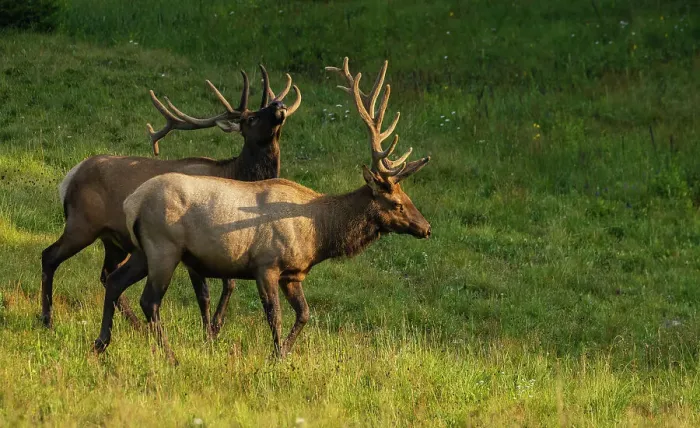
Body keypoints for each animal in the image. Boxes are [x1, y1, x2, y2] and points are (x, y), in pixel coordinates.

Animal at [40, 65, 301, 338]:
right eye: (250, 119)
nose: (278, 104)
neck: (234, 174)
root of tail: (69, 177)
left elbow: (229, 284)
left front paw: (215, 327)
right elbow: (206, 293)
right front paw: (209, 333)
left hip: (113, 240)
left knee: (106, 275)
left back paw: (136, 325)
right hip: (82, 224)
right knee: (49, 256)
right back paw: (47, 319)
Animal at [92, 57, 431, 360]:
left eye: (409, 199)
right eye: (397, 204)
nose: (426, 228)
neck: (318, 233)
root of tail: (132, 202)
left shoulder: (293, 274)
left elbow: (304, 314)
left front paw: (282, 354)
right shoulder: (266, 265)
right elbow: (274, 315)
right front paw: (275, 356)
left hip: (143, 250)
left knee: (115, 281)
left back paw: (101, 343)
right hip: (164, 247)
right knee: (149, 300)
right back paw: (169, 355)